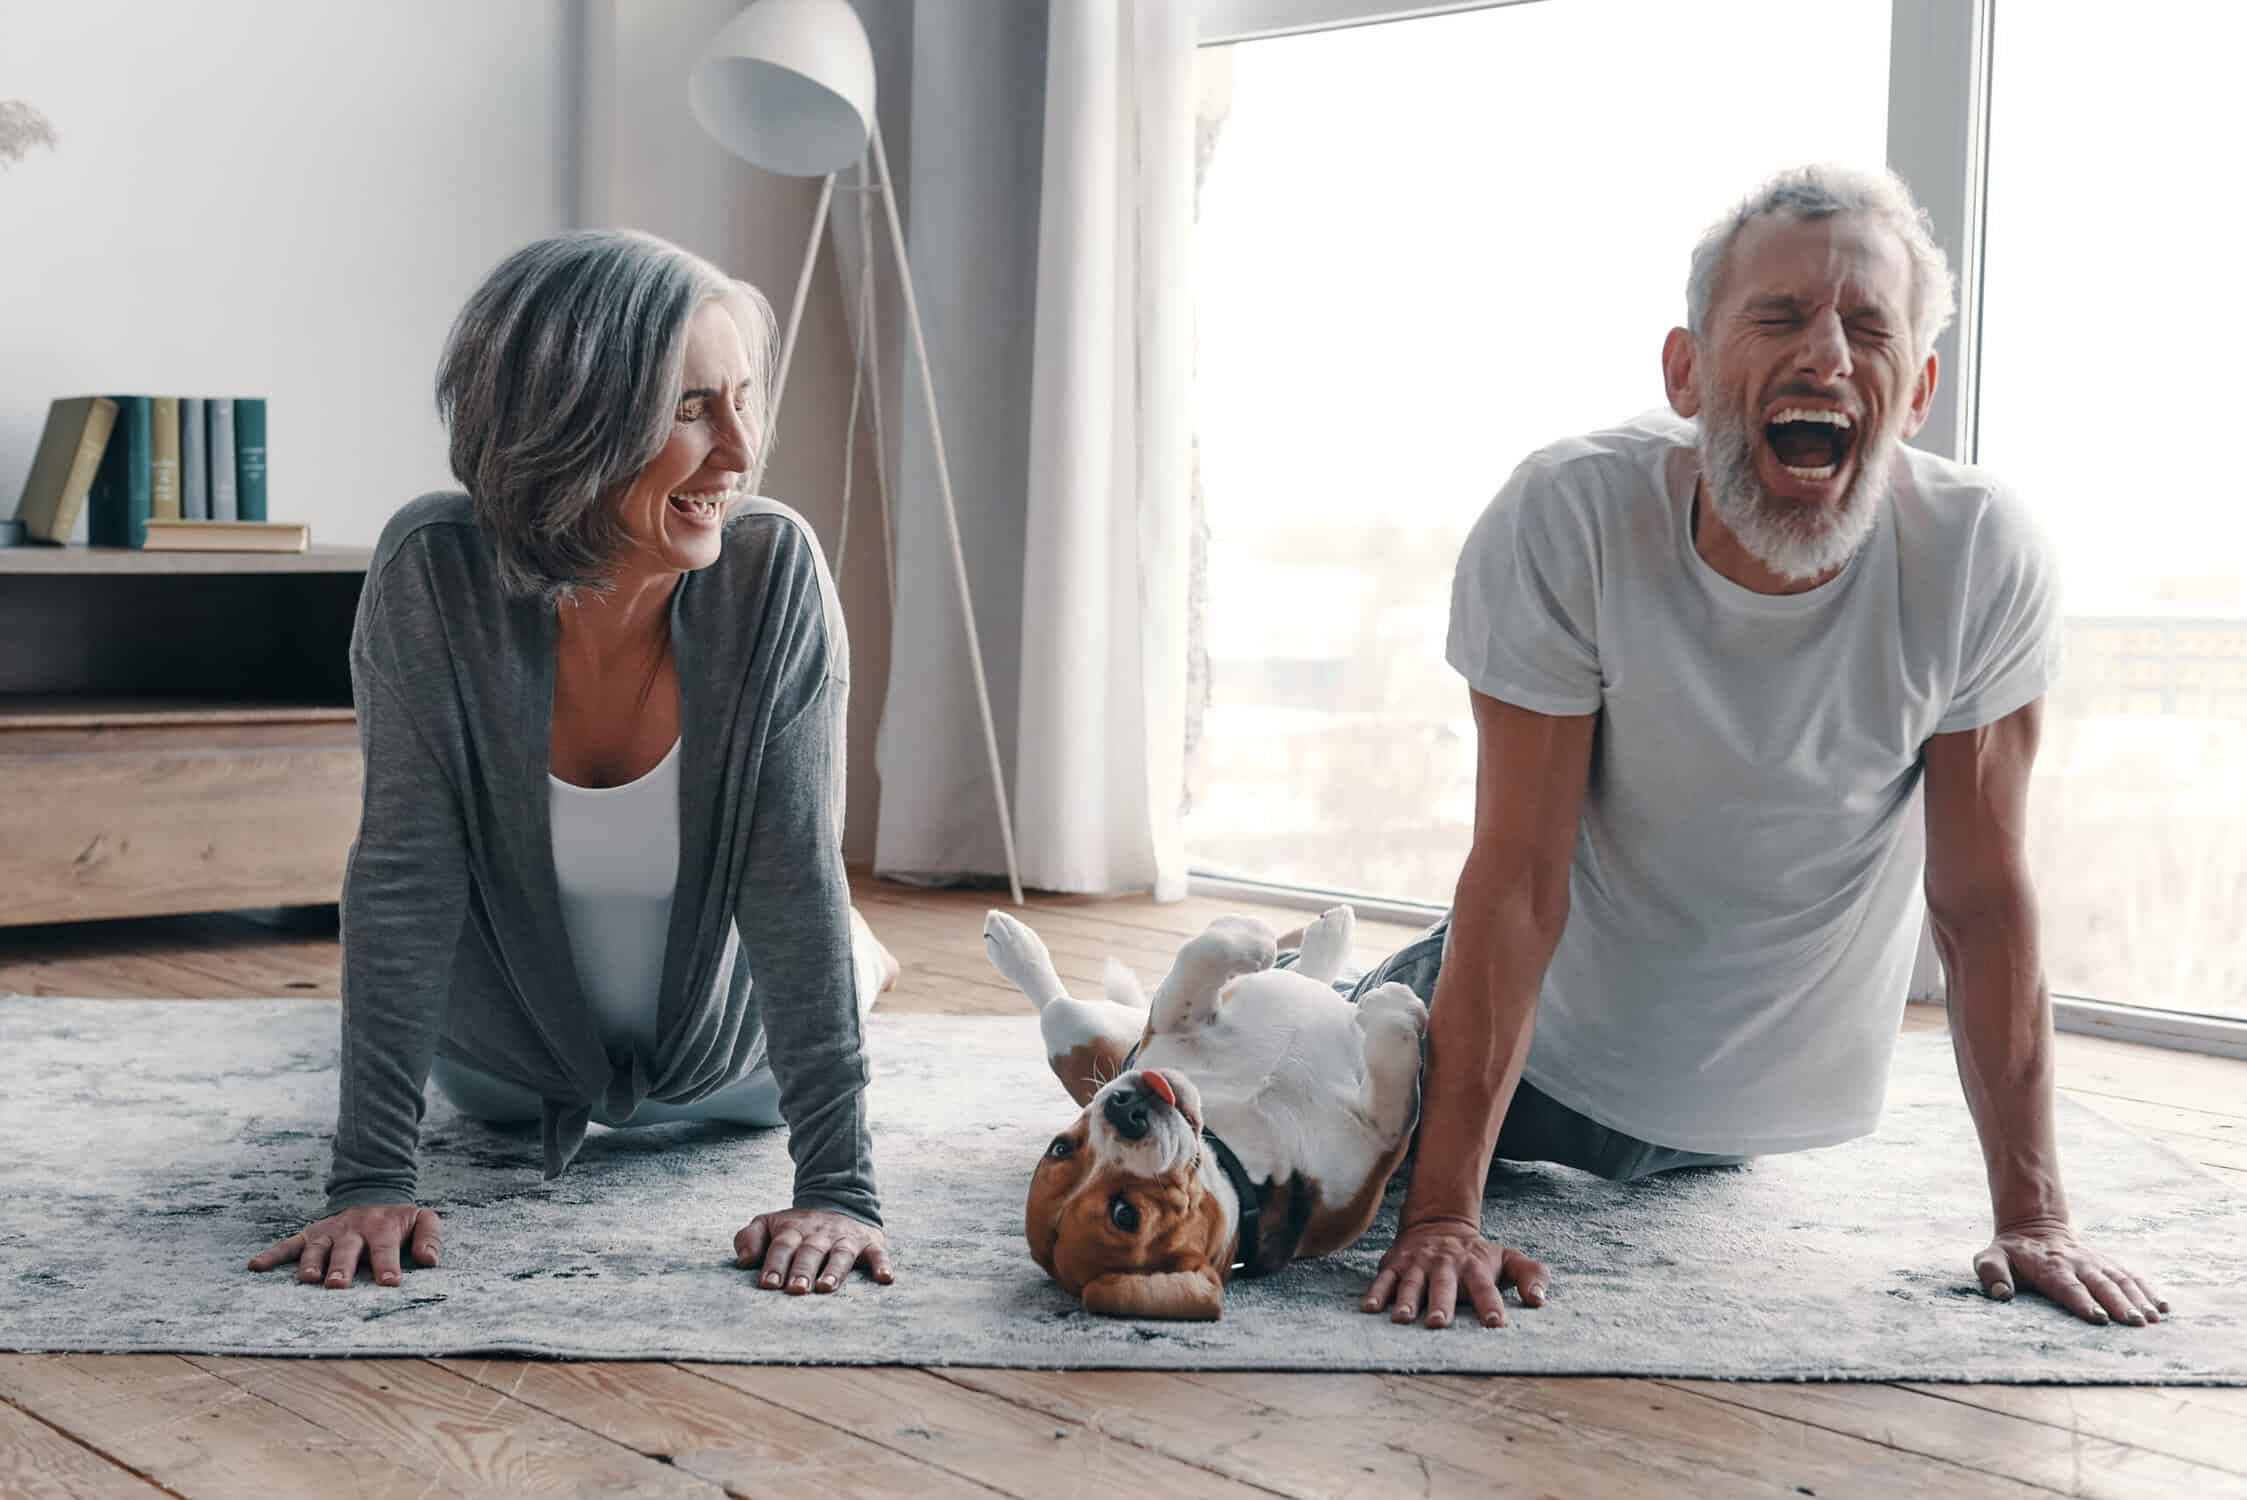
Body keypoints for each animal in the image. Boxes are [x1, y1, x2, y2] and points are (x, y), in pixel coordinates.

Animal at [979, 902, 1420, 1311]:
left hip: (1093, 1029)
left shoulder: (1169, 1027)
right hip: (1069, 1025)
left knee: (1304, 977)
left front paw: (1247, 934)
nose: (1124, 1110)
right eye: (1124, 1215)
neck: (1240, 1141)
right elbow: (1396, 1096)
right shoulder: (1375, 1156)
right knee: (1052, 1003)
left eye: (1060, 1146)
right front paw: (1393, 1007)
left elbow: (1201, 956)